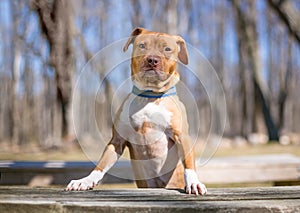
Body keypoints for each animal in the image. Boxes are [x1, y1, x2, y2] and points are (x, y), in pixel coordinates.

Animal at [66, 27, 206, 195]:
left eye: (167, 49)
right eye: (142, 45)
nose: (152, 60)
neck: (149, 96)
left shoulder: (182, 136)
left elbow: (189, 162)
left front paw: (194, 182)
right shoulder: (117, 141)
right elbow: (102, 164)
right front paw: (86, 180)